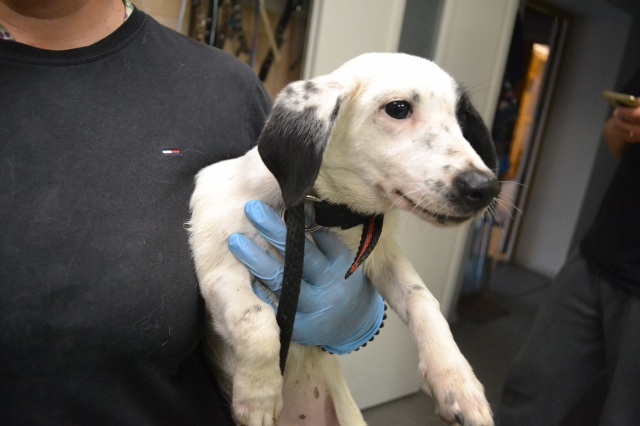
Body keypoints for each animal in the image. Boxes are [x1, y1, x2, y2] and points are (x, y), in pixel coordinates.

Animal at [188, 52, 498, 426]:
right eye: (398, 108)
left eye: (461, 116)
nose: (485, 188)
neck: (320, 212)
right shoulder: (219, 267)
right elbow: (257, 319)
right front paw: (259, 394)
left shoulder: (382, 256)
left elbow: (423, 299)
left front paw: (457, 381)